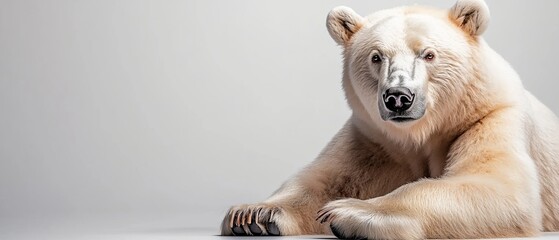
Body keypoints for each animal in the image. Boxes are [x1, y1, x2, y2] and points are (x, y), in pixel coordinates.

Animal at [219, 0, 559, 238]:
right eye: (376, 57)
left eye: (428, 54)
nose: (398, 97)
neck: (419, 135)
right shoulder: (372, 140)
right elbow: (325, 180)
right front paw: (253, 215)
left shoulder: (487, 119)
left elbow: (499, 189)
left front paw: (349, 213)